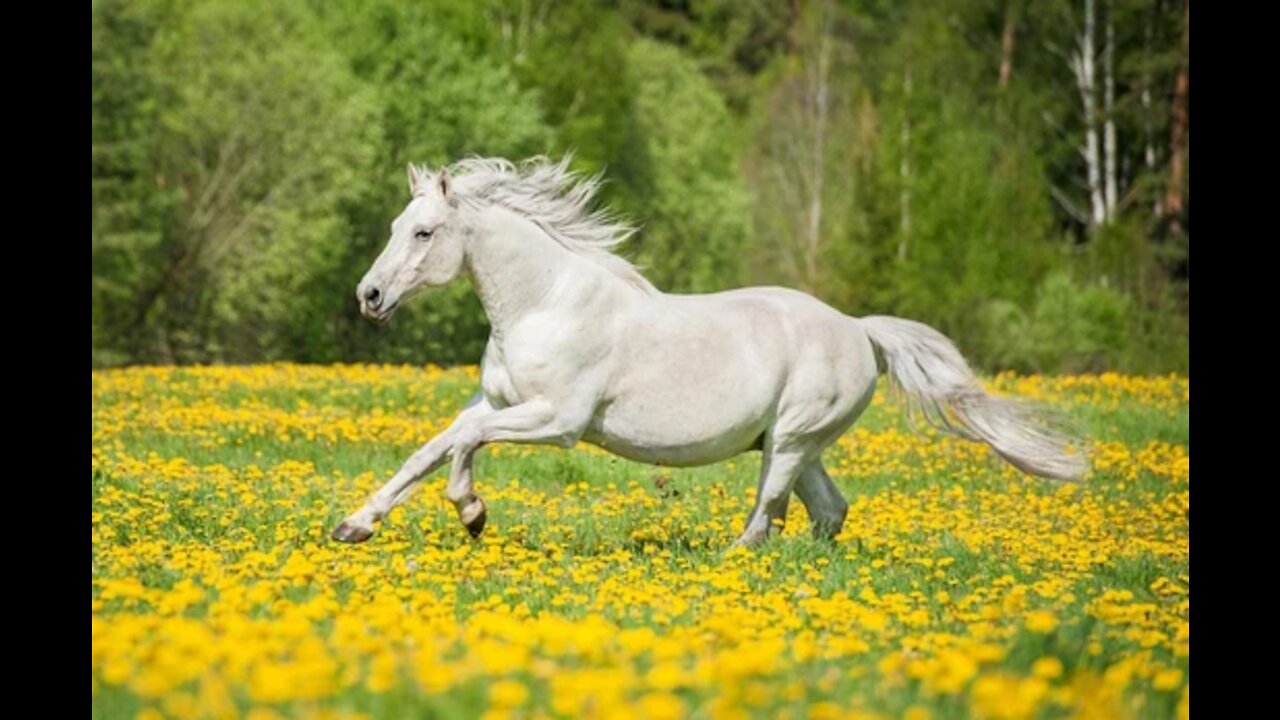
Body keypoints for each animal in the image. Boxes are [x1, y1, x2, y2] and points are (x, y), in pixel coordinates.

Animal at [332, 156, 1090, 545]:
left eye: (424, 233)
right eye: (397, 225)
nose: (369, 295)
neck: (545, 303)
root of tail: (858, 328)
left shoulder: (558, 420)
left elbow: (463, 448)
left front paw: (473, 513)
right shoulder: (493, 401)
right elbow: (433, 448)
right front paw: (353, 526)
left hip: (790, 439)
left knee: (769, 515)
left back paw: (731, 569)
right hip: (793, 443)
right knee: (826, 510)